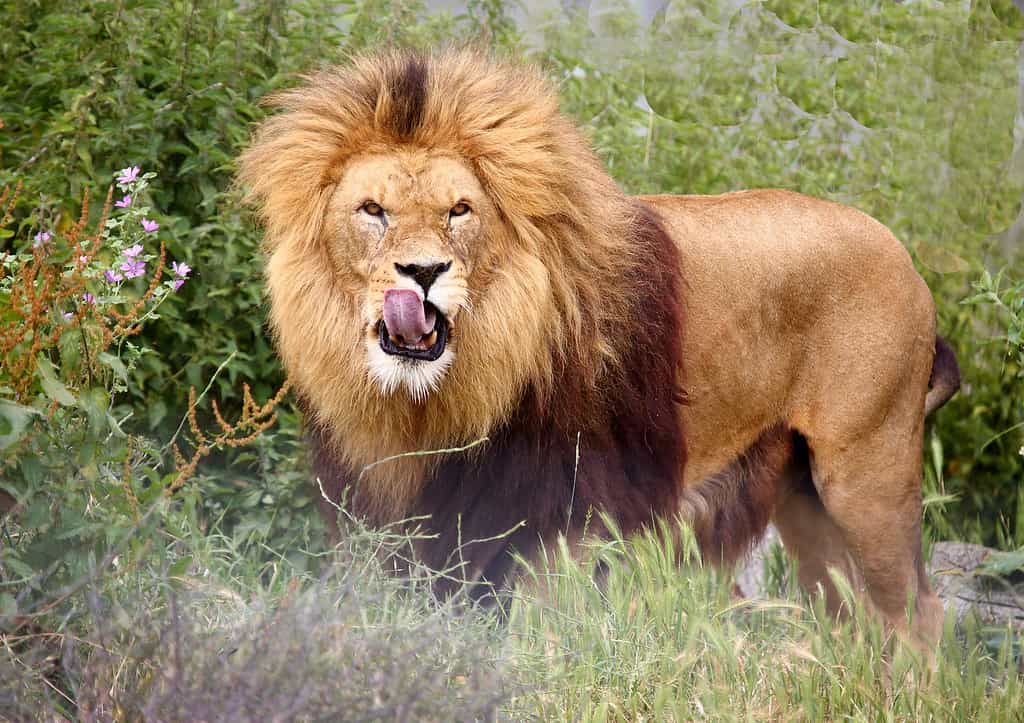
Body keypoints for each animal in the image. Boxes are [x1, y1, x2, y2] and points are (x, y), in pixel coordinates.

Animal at [237, 48, 960, 648]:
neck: (438, 400)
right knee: (853, 615)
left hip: (864, 471)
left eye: (459, 210)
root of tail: (906, 260)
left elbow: (543, 639)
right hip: (804, 496)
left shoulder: (568, 514)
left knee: (919, 613)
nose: (422, 272)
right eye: (373, 210)